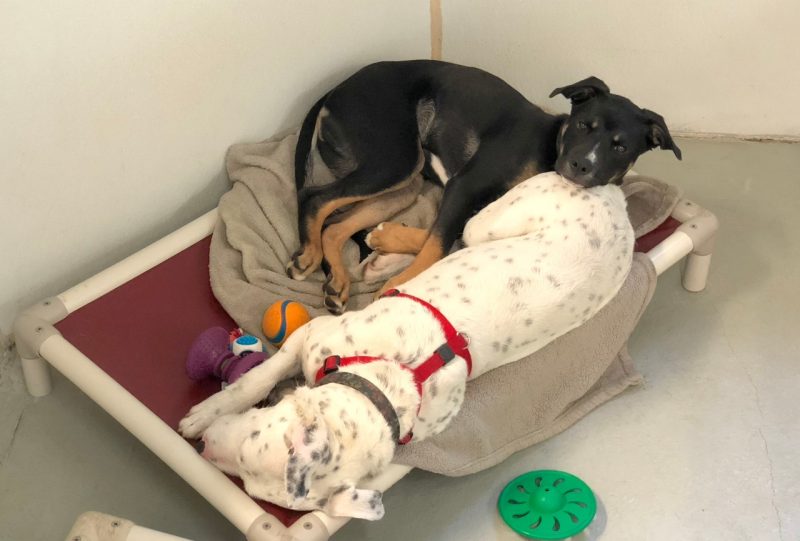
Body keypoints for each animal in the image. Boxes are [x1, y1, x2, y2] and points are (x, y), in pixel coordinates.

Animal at [178, 172, 636, 520]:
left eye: (249, 480)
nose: (204, 450)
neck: (390, 378)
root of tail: (617, 199)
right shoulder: (310, 335)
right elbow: (254, 380)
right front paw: (206, 412)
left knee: (451, 235)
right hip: (497, 219)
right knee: (455, 233)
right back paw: (386, 245)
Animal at [284, 58, 680, 312]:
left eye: (621, 147)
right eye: (585, 125)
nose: (581, 165)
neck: (551, 149)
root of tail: (335, 89)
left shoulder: (471, 207)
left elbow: (442, 238)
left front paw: (386, 242)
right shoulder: (464, 185)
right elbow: (436, 246)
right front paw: (394, 288)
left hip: (403, 182)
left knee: (336, 225)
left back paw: (338, 281)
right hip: (395, 159)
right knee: (315, 197)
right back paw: (309, 255)